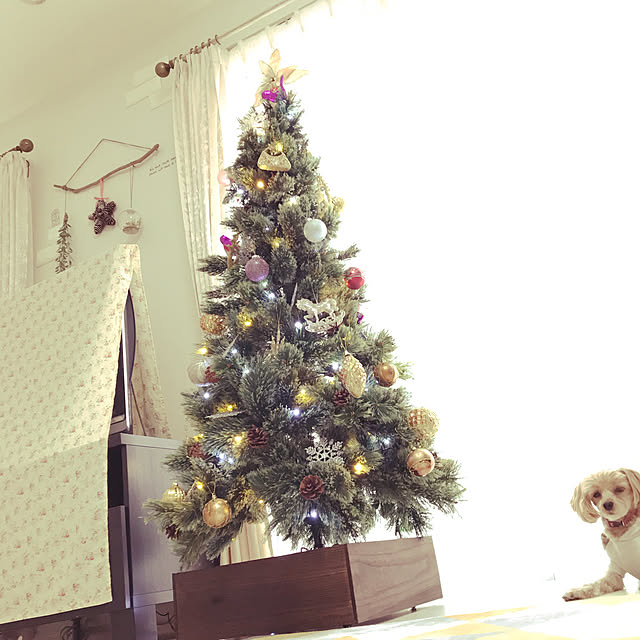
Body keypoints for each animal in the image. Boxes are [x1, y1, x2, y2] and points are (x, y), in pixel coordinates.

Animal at [563, 468, 640, 601]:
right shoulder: (614, 574)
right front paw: (576, 591)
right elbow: (595, 585)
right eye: (596, 494)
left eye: (619, 489)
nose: (607, 504)